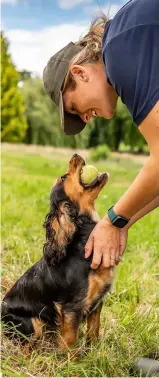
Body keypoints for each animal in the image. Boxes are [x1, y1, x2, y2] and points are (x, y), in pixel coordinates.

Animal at [1, 154, 114, 352]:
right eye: (63, 177)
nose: (75, 155)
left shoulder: (97, 302)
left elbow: (94, 331)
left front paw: (92, 353)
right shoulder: (72, 307)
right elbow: (70, 341)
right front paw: (71, 359)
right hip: (32, 322)